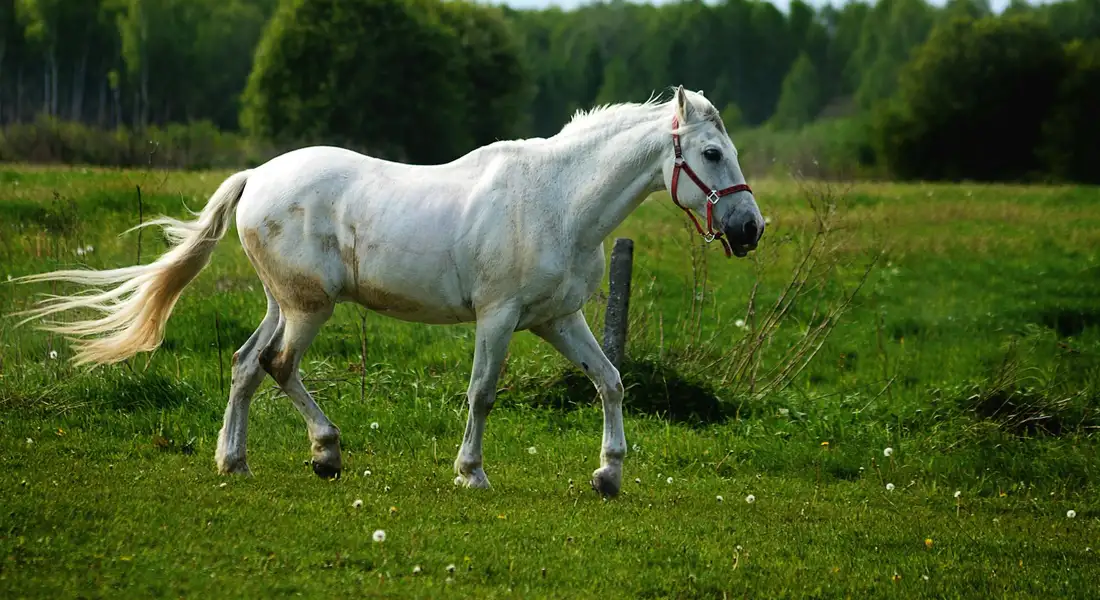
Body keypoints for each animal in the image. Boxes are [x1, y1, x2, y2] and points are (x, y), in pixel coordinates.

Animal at [13, 85, 764, 498]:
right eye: (711, 154)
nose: (750, 229)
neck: (557, 199)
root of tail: (256, 177)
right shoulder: (498, 318)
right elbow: (482, 394)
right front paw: (470, 473)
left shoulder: (559, 319)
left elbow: (609, 381)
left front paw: (608, 475)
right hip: (309, 307)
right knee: (277, 364)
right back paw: (324, 452)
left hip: (284, 302)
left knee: (246, 364)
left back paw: (236, 460)